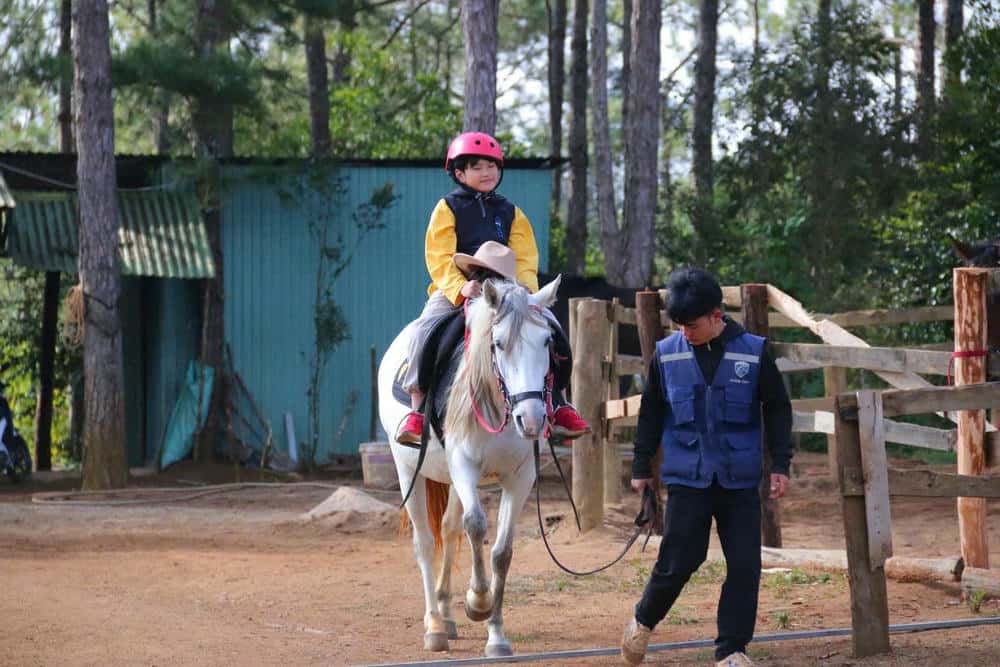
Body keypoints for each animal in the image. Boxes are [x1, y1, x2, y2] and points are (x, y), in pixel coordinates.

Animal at [377, 275, 562, 657]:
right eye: (499, 343)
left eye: (547, 341)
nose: (531, 419)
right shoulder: (463, 465)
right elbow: (476, 525)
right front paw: (478, 602)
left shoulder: (520, 477)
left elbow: (502, 551)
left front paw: (496, 635)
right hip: (408, 471)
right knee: (425, 541)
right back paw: (434, 626)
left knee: (448, 529)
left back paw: (446, 615)